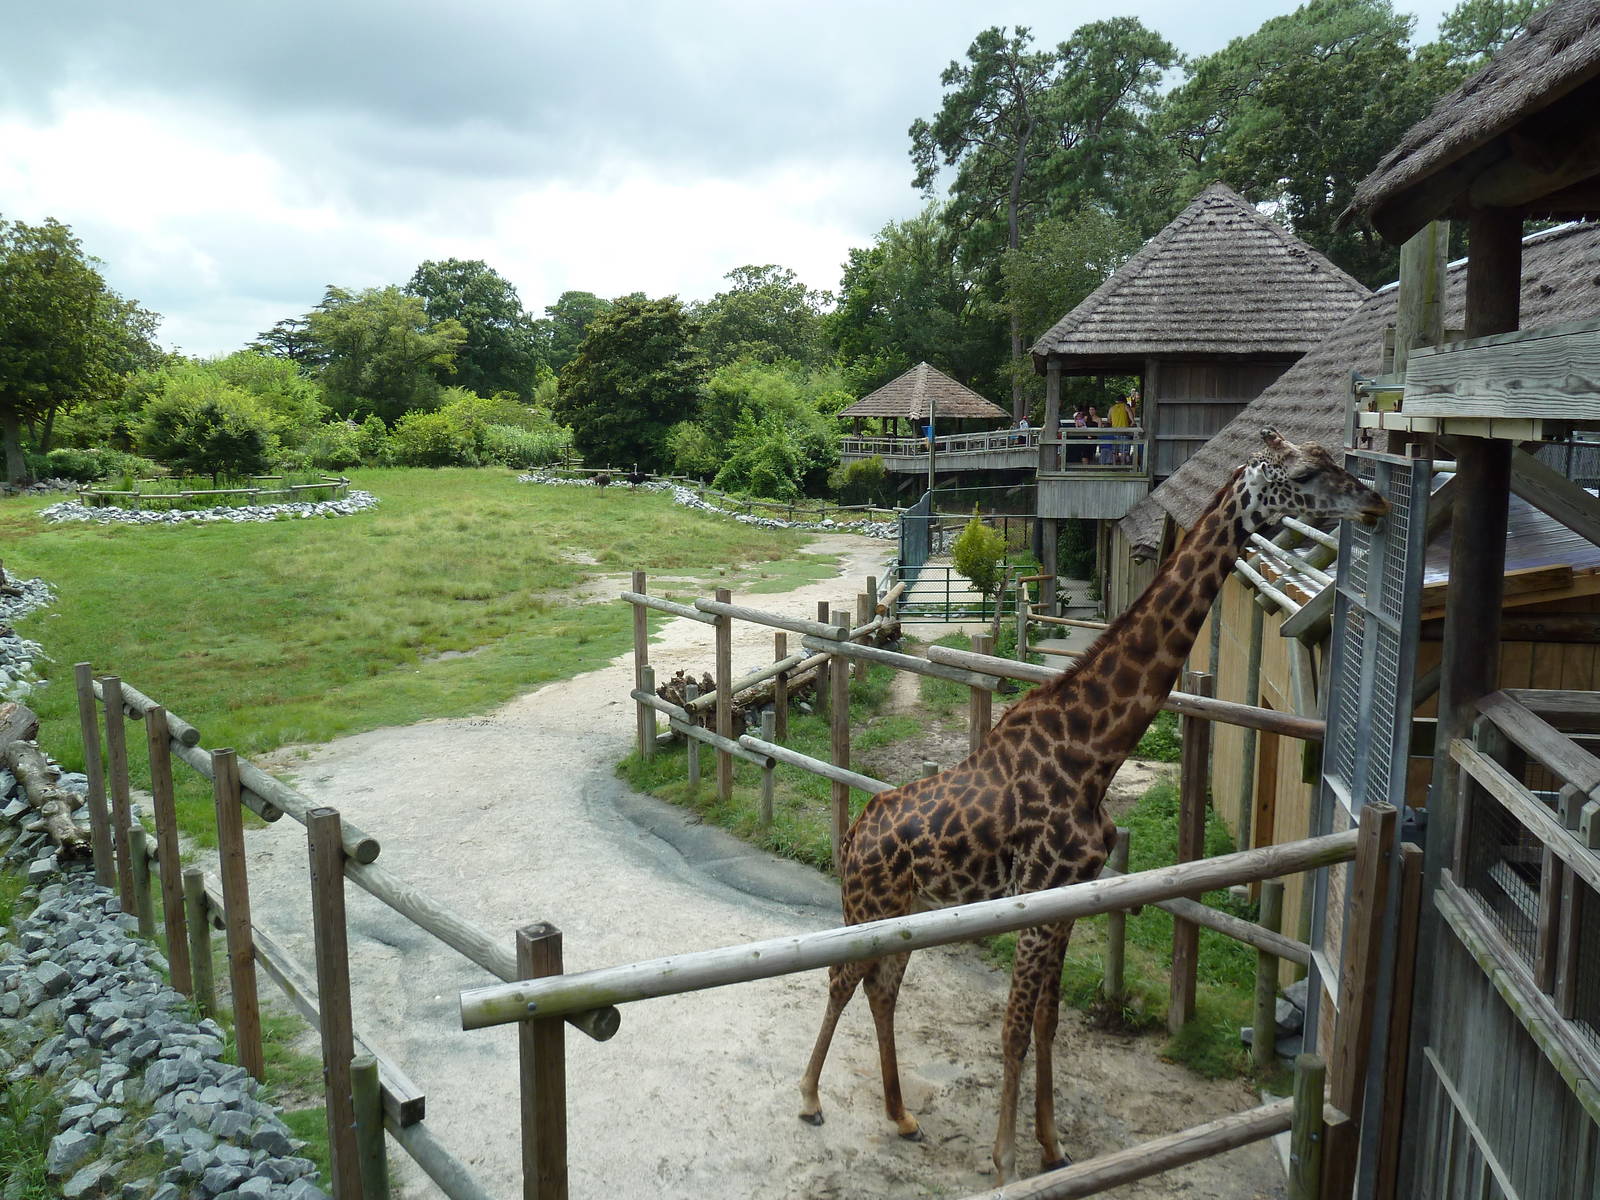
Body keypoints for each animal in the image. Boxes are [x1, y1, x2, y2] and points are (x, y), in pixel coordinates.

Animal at [798, 428, 1387, 1182]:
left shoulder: (1070, 897)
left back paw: (901, 1115)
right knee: (843, 978)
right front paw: (1006, 1160)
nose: (1374, 504)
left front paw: (1051, 1146)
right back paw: (811, 1097)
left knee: (883, 987)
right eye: (1308, 474)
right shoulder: (1037, 895)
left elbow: (1049, 1024)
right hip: (869, 906)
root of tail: (853, 836)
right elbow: (1014, 1028)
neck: (1094, 754)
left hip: (907, 910)